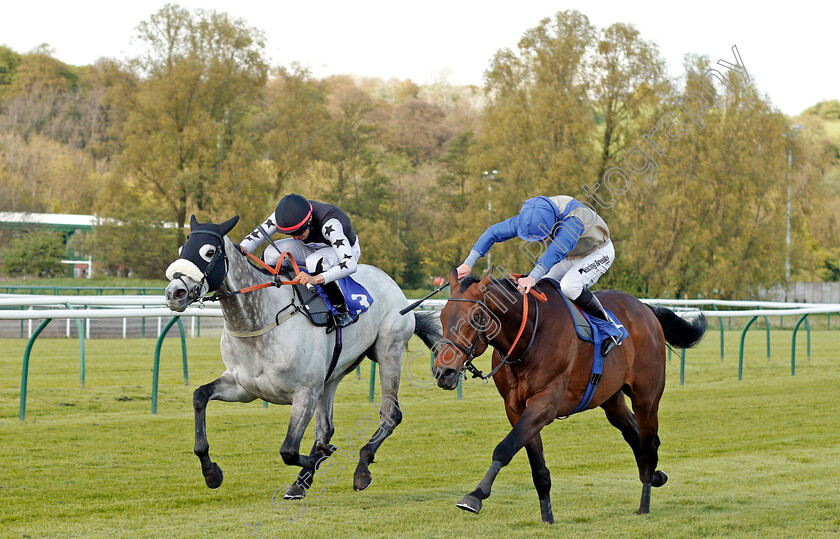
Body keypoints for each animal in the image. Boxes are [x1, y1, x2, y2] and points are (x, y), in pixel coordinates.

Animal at [161, 214, 442, 498]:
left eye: (209, 252)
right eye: (181, 249)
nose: (175, 293)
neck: (258, 324)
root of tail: (391, 283)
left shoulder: (305, 392)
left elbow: (288, 450)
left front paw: (319, 460)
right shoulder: (244, 387)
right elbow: (199, 396)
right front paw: (211, 472)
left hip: (388, 351)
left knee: (390, 414)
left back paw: (361, 468)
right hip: (331, 375)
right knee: (326, 428)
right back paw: (303, 480)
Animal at [434, 270, 708, 524]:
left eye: (476, 317)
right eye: (442, 316)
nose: (443, 372)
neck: (529, 337)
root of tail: (645, 308)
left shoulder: (545, 403)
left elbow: (505, 447)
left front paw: (475, 495)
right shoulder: (516, 409)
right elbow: (538, 469)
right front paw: (547, 517)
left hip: (646, 398)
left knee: (649, 444)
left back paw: (645, 504)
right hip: (611, 400)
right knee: (634, 435)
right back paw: (656, 476)